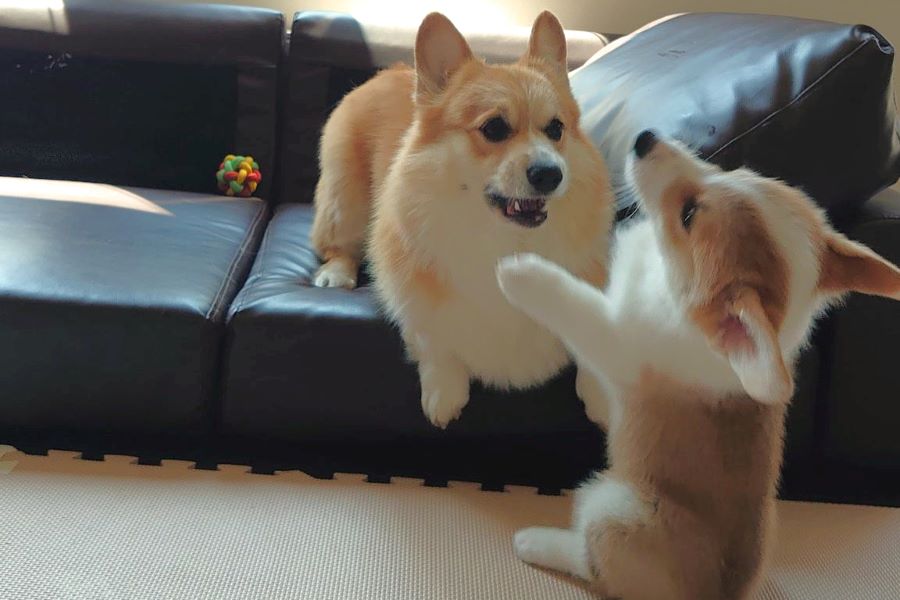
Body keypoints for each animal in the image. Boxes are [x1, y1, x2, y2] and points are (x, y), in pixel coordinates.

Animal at [310, 11, 612, 428]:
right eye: (494, 128)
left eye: (556, 129)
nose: (551, 174)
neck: (505, 241)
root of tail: (391, 71)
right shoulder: (412, 295)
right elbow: (433, 336)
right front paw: (444, 392)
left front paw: (603, 396)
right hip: (345, 200)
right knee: (338, 244)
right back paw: (336, 274)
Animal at [496, 132, 900, 600]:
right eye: (738, 172)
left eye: (688, 215)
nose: (645, 138)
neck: (669, 280)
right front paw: (593, 397)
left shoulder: (615, 339)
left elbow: (575, 305)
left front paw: (523, 273)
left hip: (613, 508)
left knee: (594, 564)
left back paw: (536, 541)